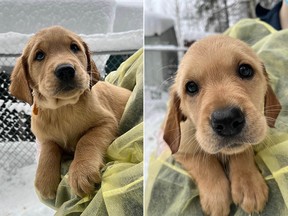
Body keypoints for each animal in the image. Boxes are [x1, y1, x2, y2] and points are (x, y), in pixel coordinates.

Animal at [9, 26, 130, 200]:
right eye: (39, 55)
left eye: (74, 47)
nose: (65, 70)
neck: (63, 108)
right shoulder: (44, 137)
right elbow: (48, 149)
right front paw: (44, 180)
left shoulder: (105, 122)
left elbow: (86, 140)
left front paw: (81, 171)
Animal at [164, 34, 282, 215]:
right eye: (191, 87)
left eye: (245, 70)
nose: (226, 120)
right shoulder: (181, 149)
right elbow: (203, 161)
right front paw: (216, 199)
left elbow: (242, 151)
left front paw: (249, 186)